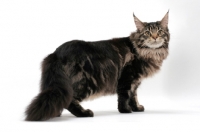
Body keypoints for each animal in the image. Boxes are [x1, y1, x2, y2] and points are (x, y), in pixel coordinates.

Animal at [24, 11, 170, 120]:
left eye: (160, 31)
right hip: (86, 83)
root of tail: (56, 53)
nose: (155, 37)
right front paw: (125, 110)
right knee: (69, 100)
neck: (149, 52)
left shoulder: (135, 81)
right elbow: (124, 97)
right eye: (147, 33)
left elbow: (133, 96)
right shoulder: (127, 78)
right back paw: (84, 113)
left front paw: (136, 108)